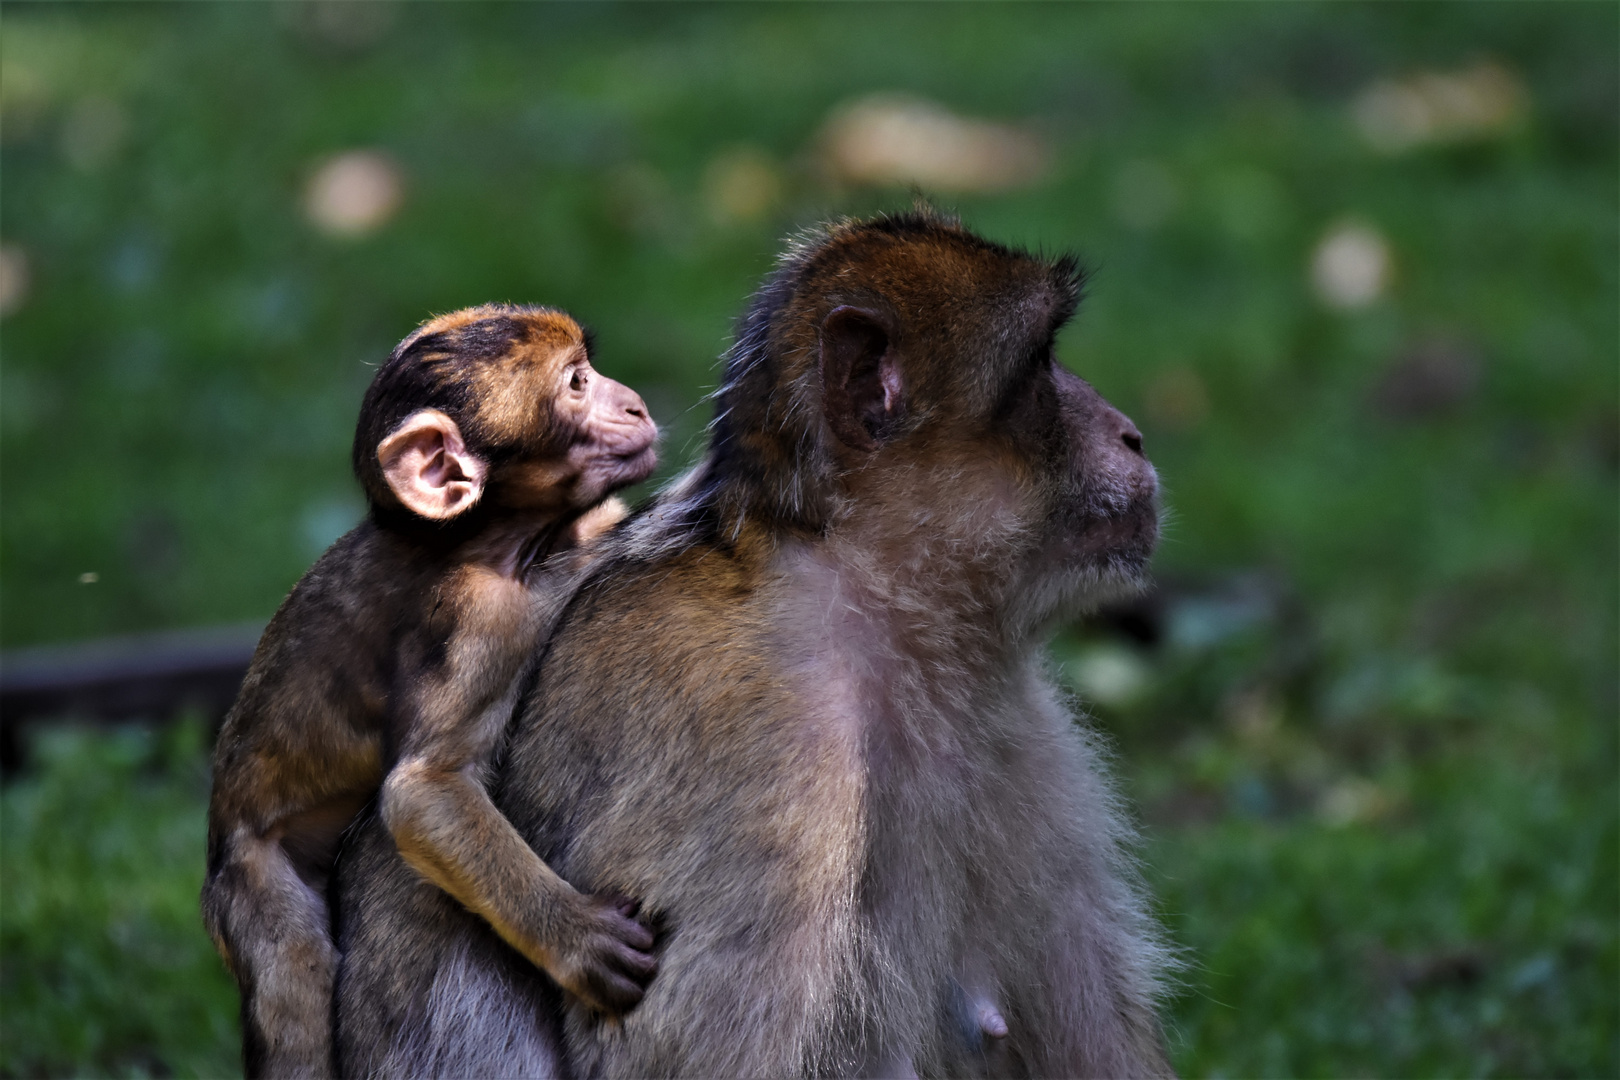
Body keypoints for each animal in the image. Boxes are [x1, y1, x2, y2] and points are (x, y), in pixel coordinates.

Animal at [204, 306, 657, 1080]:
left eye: (590, 369)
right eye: (576, 383)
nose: (634, 403)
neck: (480, 539)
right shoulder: (477, 620)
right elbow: (421, 792)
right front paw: (573, 939)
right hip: (252, 883)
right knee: (294, 977)